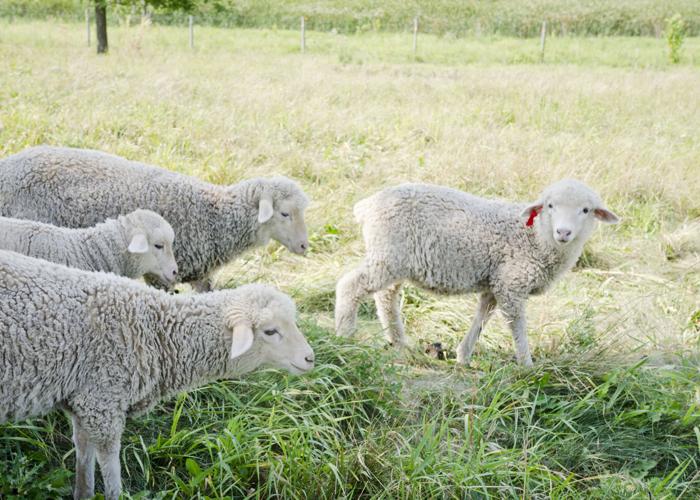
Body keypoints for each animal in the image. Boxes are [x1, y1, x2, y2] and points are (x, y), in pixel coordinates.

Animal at [0, 250, 315, 500]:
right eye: (270, 331)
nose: (310, 358)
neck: (155, 329)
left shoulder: (83, 402)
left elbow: (83, 455)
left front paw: (83, 493)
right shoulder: (103, 401)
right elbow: (110, 470)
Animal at [335, 179, 620, 366]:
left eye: (586, 210)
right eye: (550, 206)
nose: (564, 232)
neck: (537, 237)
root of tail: (367, 205)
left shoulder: (495, 283)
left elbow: (482, 318)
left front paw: (463, 356)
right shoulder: (512, 283)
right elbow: (517, 326)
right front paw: (527, 365)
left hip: (395, 259)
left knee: (385, 297)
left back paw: (399, 342)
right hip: (388, 254)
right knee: (350, 286)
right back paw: (345, 335)